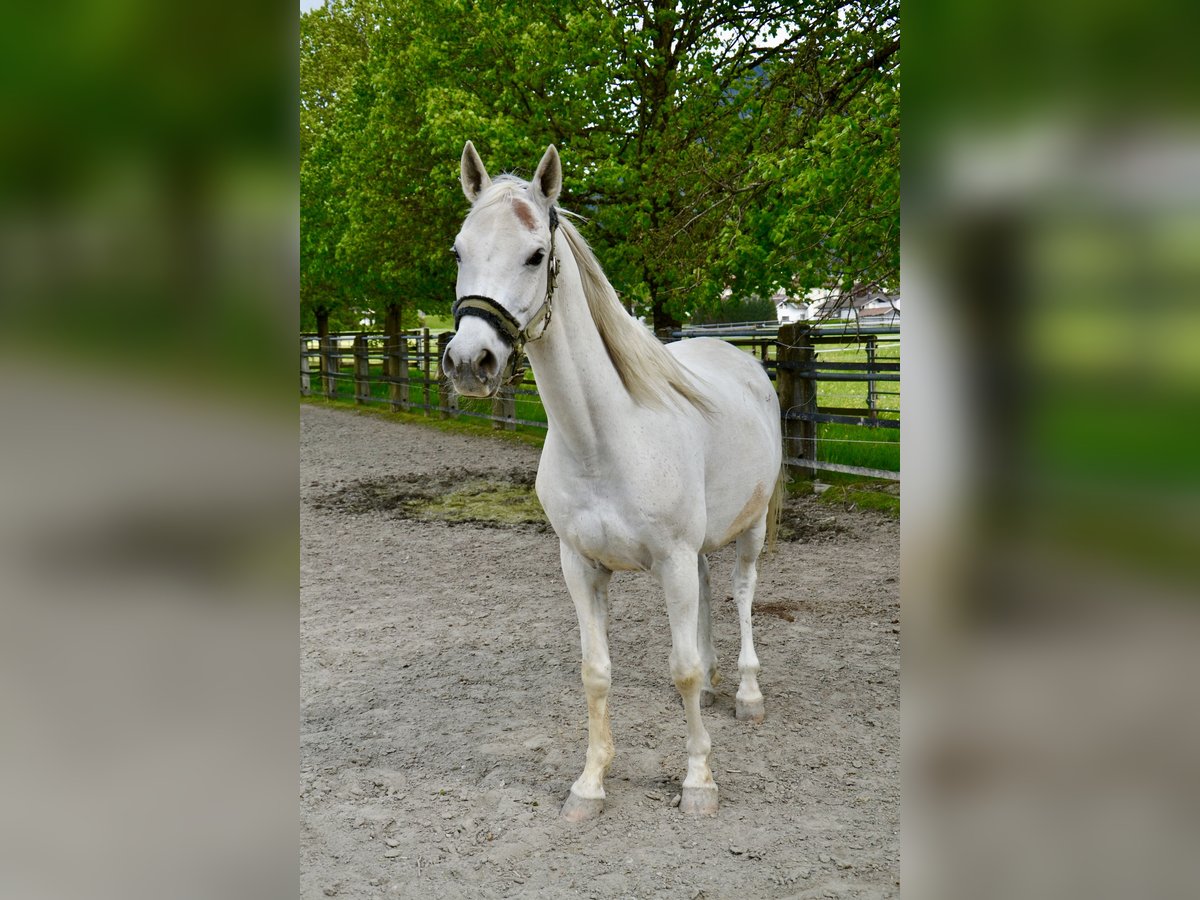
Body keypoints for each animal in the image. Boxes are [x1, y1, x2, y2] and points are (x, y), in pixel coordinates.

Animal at [446, 142, 782, 825]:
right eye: (459, 251)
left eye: (536, 254)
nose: (470, 363)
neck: (604, 439)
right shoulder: (581, 566)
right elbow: (596, 672)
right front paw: (590, 783)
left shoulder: (672, 561)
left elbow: (681, 668)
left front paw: (699, 780)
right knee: (711, 595)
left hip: (753, 529)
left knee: (741, 593)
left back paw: (746, 692)